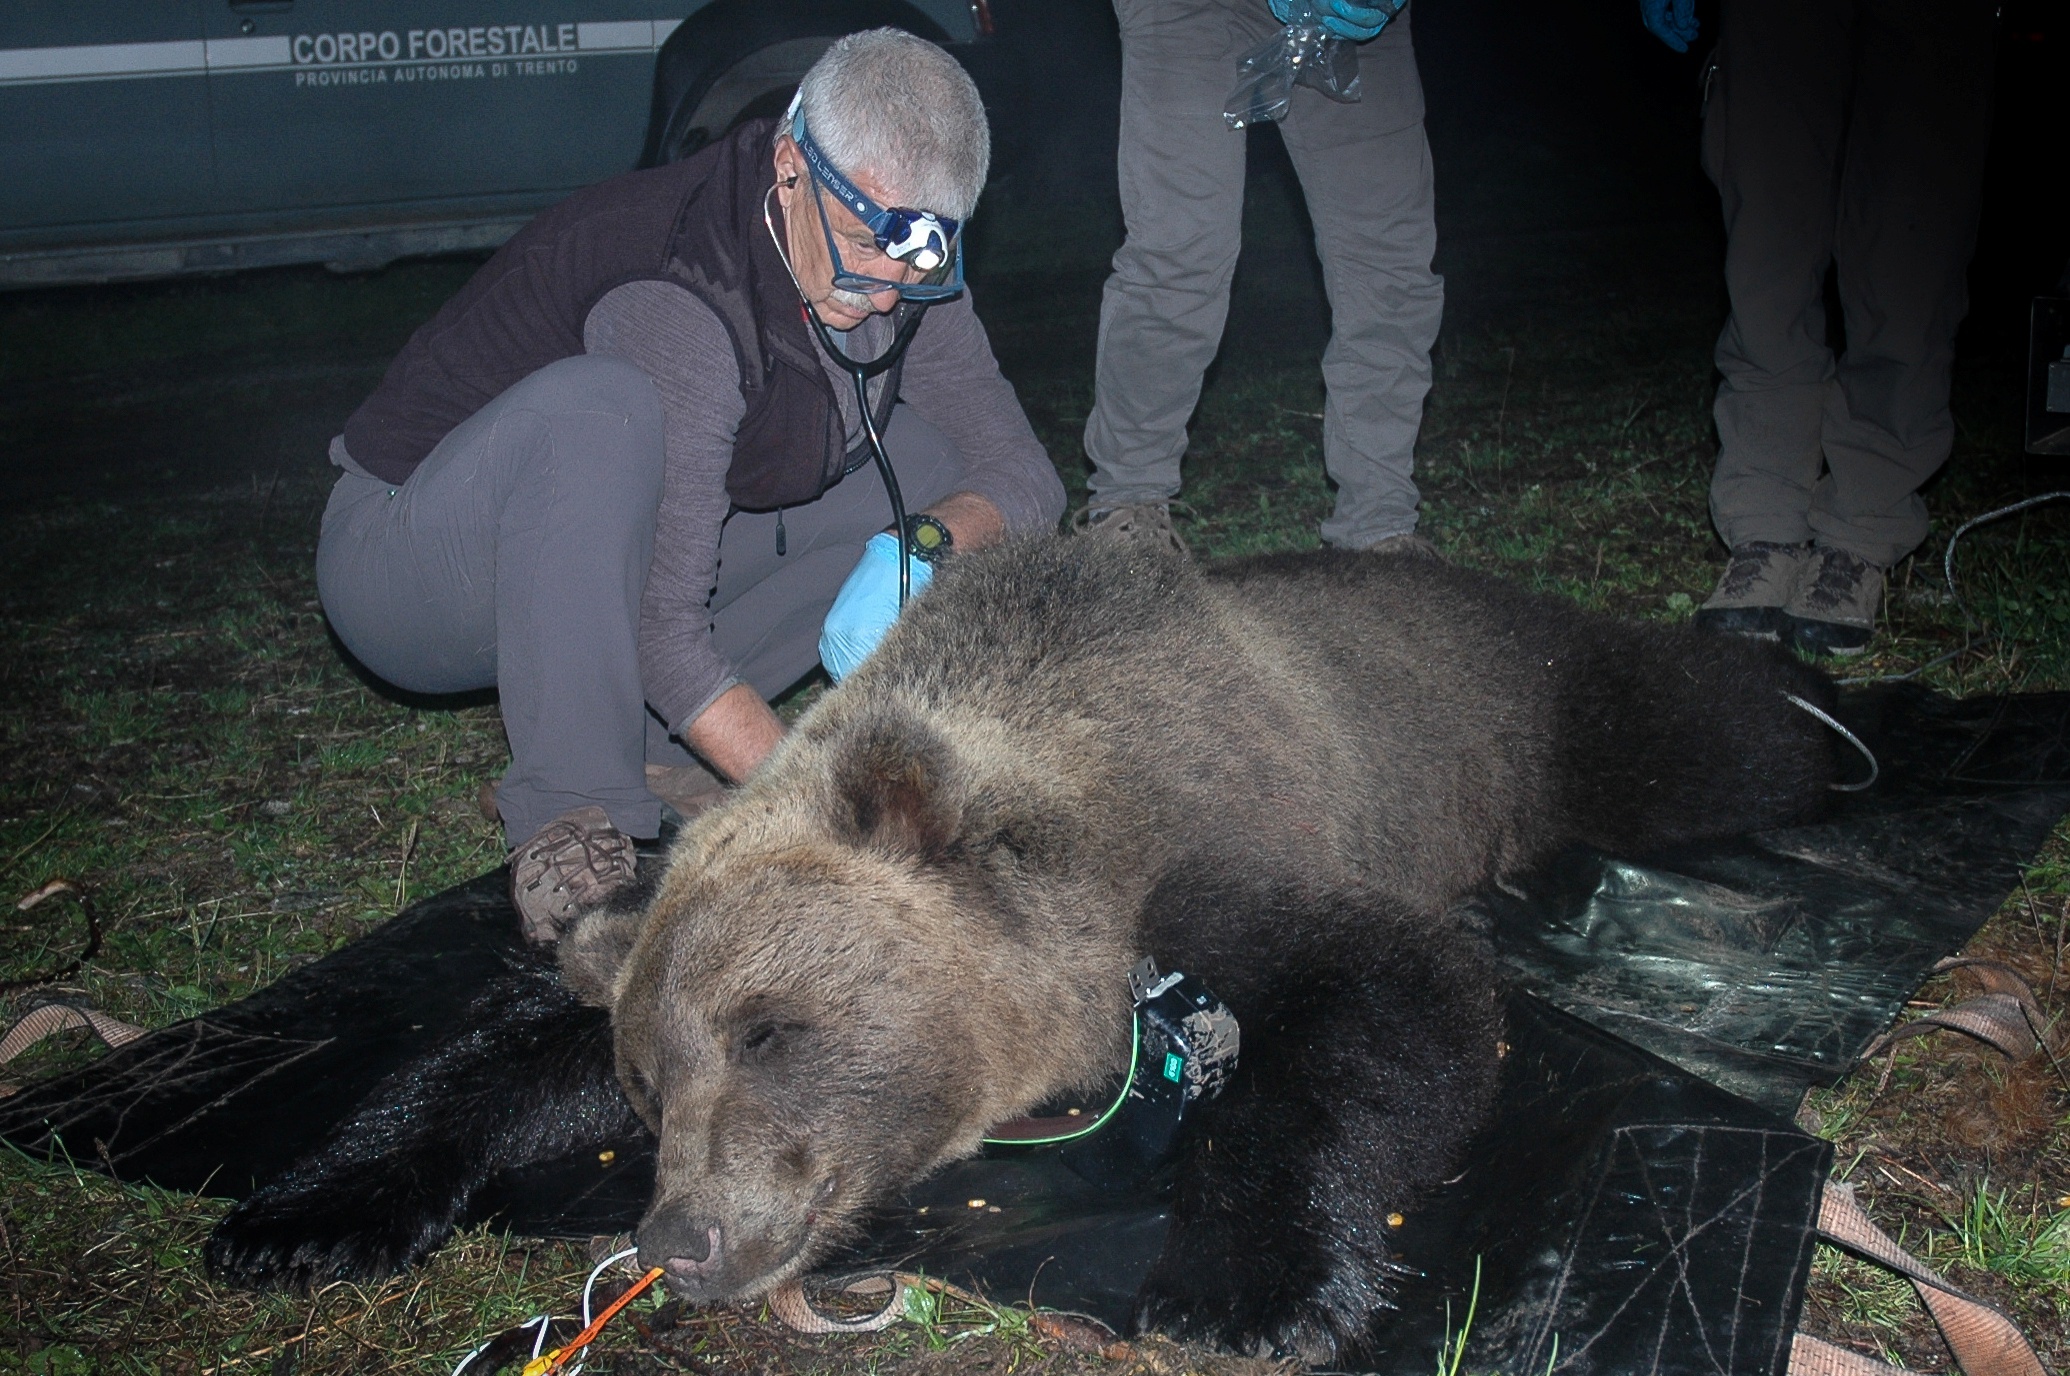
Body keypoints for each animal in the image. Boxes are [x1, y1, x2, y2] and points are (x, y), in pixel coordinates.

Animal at [558, 529, 1838, 1357]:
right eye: (645, 1082)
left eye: (768, 1029)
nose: (682, 1234)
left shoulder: (1204, 835)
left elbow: (1391, 999)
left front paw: (1247, 1285)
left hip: (1528, 702)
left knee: (1695, 732)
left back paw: (1810, 702)